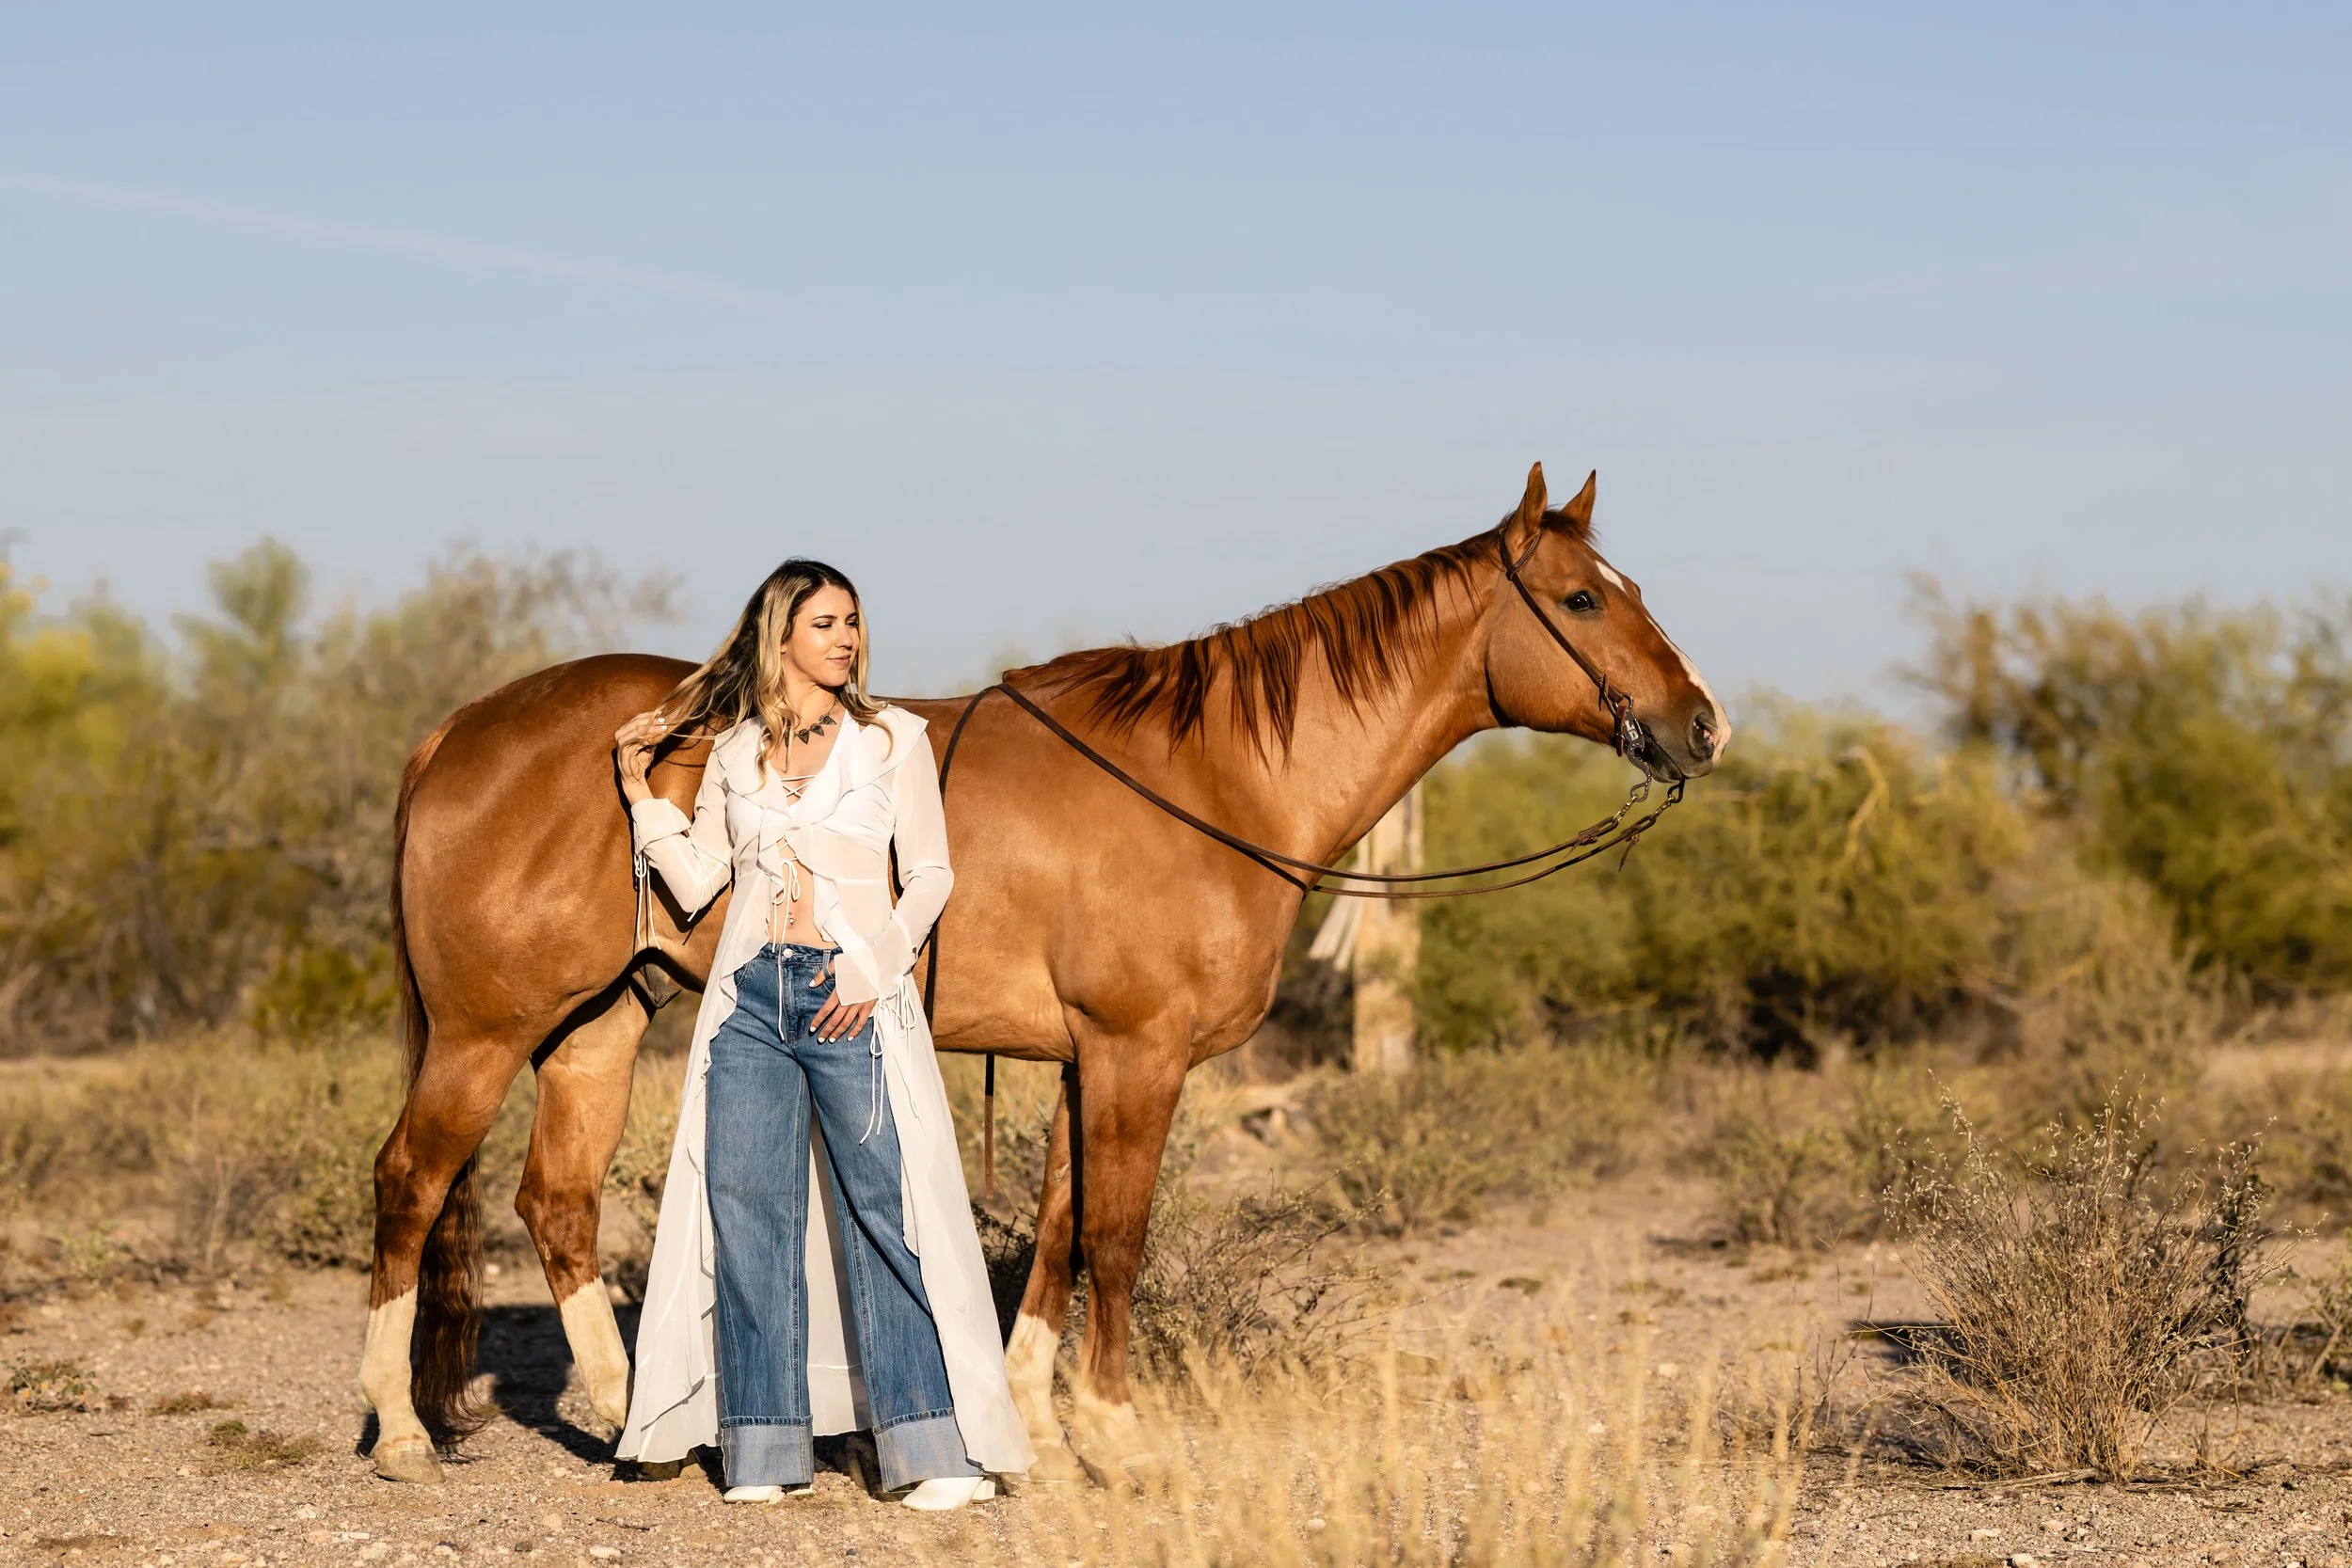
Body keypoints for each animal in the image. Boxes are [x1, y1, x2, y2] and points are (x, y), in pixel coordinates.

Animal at [357, 462, 1725, 1485]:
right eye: (1580, 600)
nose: (1703, 723)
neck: (1212, 776)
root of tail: (457, 729)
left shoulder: (1086, 1058)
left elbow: (1063, 1233)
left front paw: (1034, 1421)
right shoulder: (1137, 1052)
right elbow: (1115, 1238)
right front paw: (1118, 1435)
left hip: (594, 1020)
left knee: (556, 1202)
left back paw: (620, 1410)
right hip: (485, 1032)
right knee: (412, 1183)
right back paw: (405, 1430)